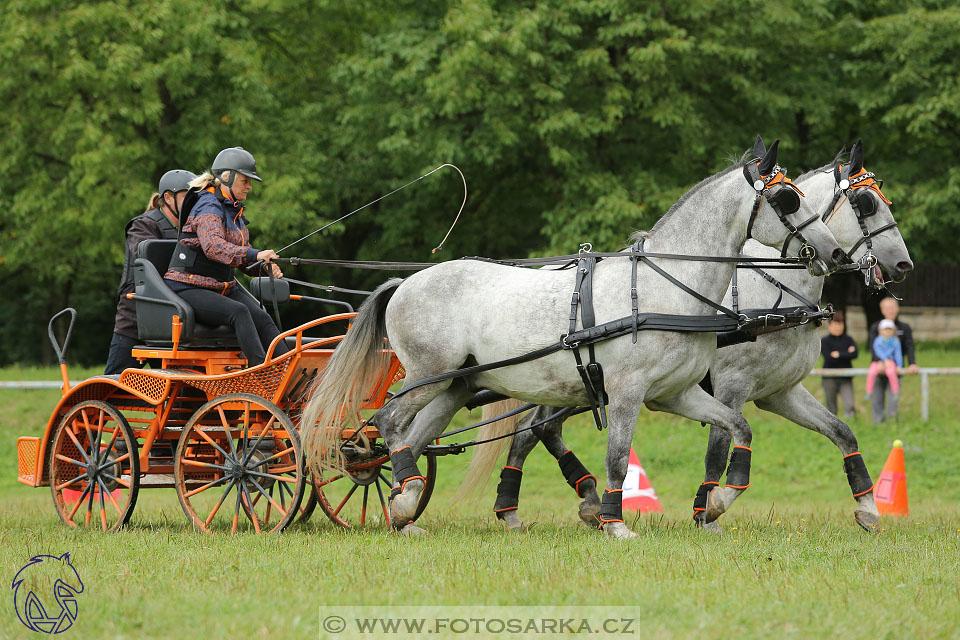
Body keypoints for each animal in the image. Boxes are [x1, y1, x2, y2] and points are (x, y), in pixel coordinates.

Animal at [298, 141, 840, 540]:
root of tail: (406, 282)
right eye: (788, 199)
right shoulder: (627, 392)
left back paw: (404, 513)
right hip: (429, 376)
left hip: (454, 387)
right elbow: (619, 458)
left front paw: (719, 502)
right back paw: (407, 497)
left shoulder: (676, 394)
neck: (664, 286)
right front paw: (617, 524)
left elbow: (737, 427)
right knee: (388, 423)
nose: (833, 253)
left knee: (412, 438)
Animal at [474, 141, 916, 536]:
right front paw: (710, 510)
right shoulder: (731, 386)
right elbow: (718, 451)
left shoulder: (780, 392)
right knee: (536, 429)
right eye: (866, 204)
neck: (774, 290)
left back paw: (546, 504)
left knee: (533, 431)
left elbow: (842, 433)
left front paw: (867, 507)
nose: (903, 265)